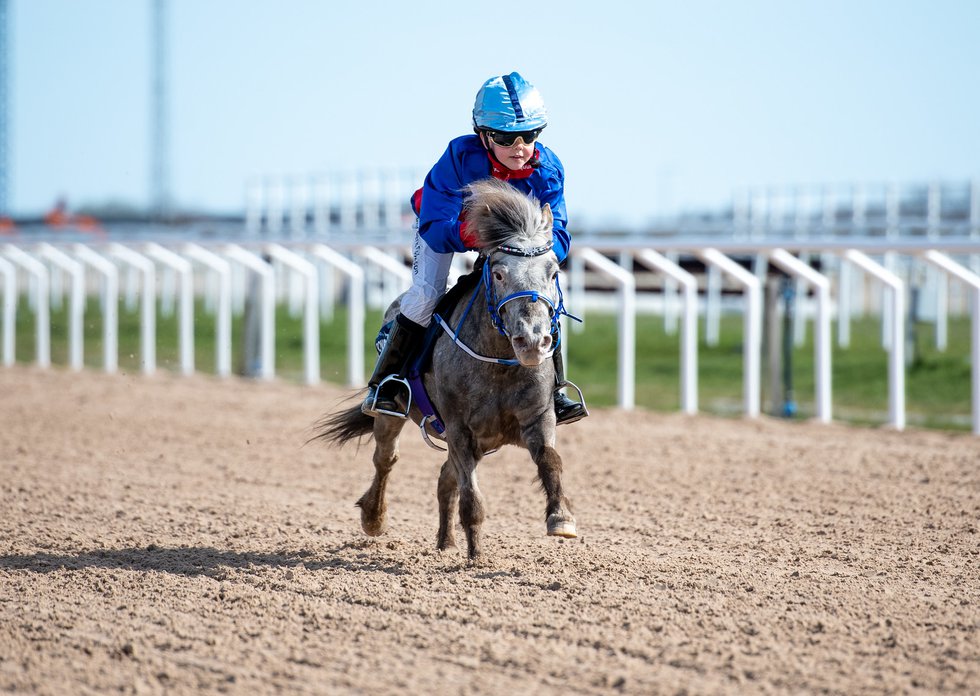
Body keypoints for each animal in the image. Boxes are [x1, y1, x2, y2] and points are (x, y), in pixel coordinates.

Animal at [314, 179, 576, 560]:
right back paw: (374, 518)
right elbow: (472, 497)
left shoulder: (537, 419)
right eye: (499, 273)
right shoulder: (459, 428)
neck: (498, 364)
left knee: (443, 478)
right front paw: (475, 555)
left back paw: (445, 542)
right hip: (392, 415)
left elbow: (551, 461)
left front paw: (561, 518)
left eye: (553, 272)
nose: (531, 340)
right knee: (386, 459)